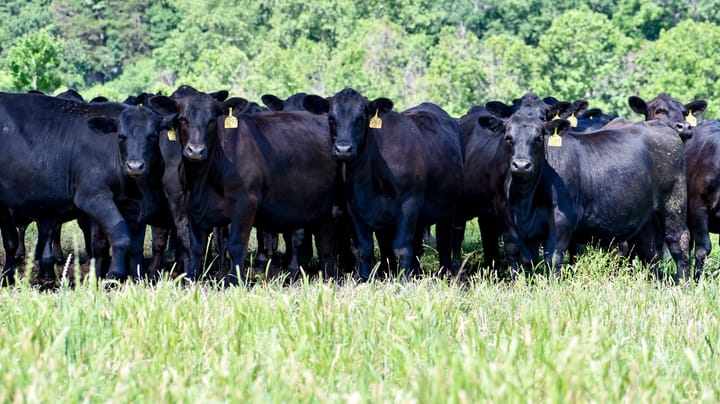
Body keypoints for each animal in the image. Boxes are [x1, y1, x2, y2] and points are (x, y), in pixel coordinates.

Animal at [0, 92, 175, 284]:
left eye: (152, 136)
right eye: (121, 136)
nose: (135, 166)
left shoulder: (136, 207)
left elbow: (134, 246)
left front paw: (137, 278)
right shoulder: (92, 197)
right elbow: (119, 235)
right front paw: (113, 275)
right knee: (12, 240)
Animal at [303, 88, 464, 281]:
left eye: (361, 118)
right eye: (331, 119)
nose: (343, 149)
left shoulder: (408, 205)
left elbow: (402, 248)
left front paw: (403, 280)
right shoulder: (355, 207)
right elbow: (364, 249)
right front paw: (364, 280)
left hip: (448, 207)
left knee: (444, 241)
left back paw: (445, 274)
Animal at [481, 93, 691, 280]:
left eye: (539, 137)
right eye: (508, 137)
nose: (522, 165)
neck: (529, 197)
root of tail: (663, 128)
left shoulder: (562, 221)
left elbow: (553, 258)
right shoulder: (523, 228)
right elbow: (528, 261)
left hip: (673, 204)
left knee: (679, 242)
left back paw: (683, 284)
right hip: (643, 217)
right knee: (649, 252)